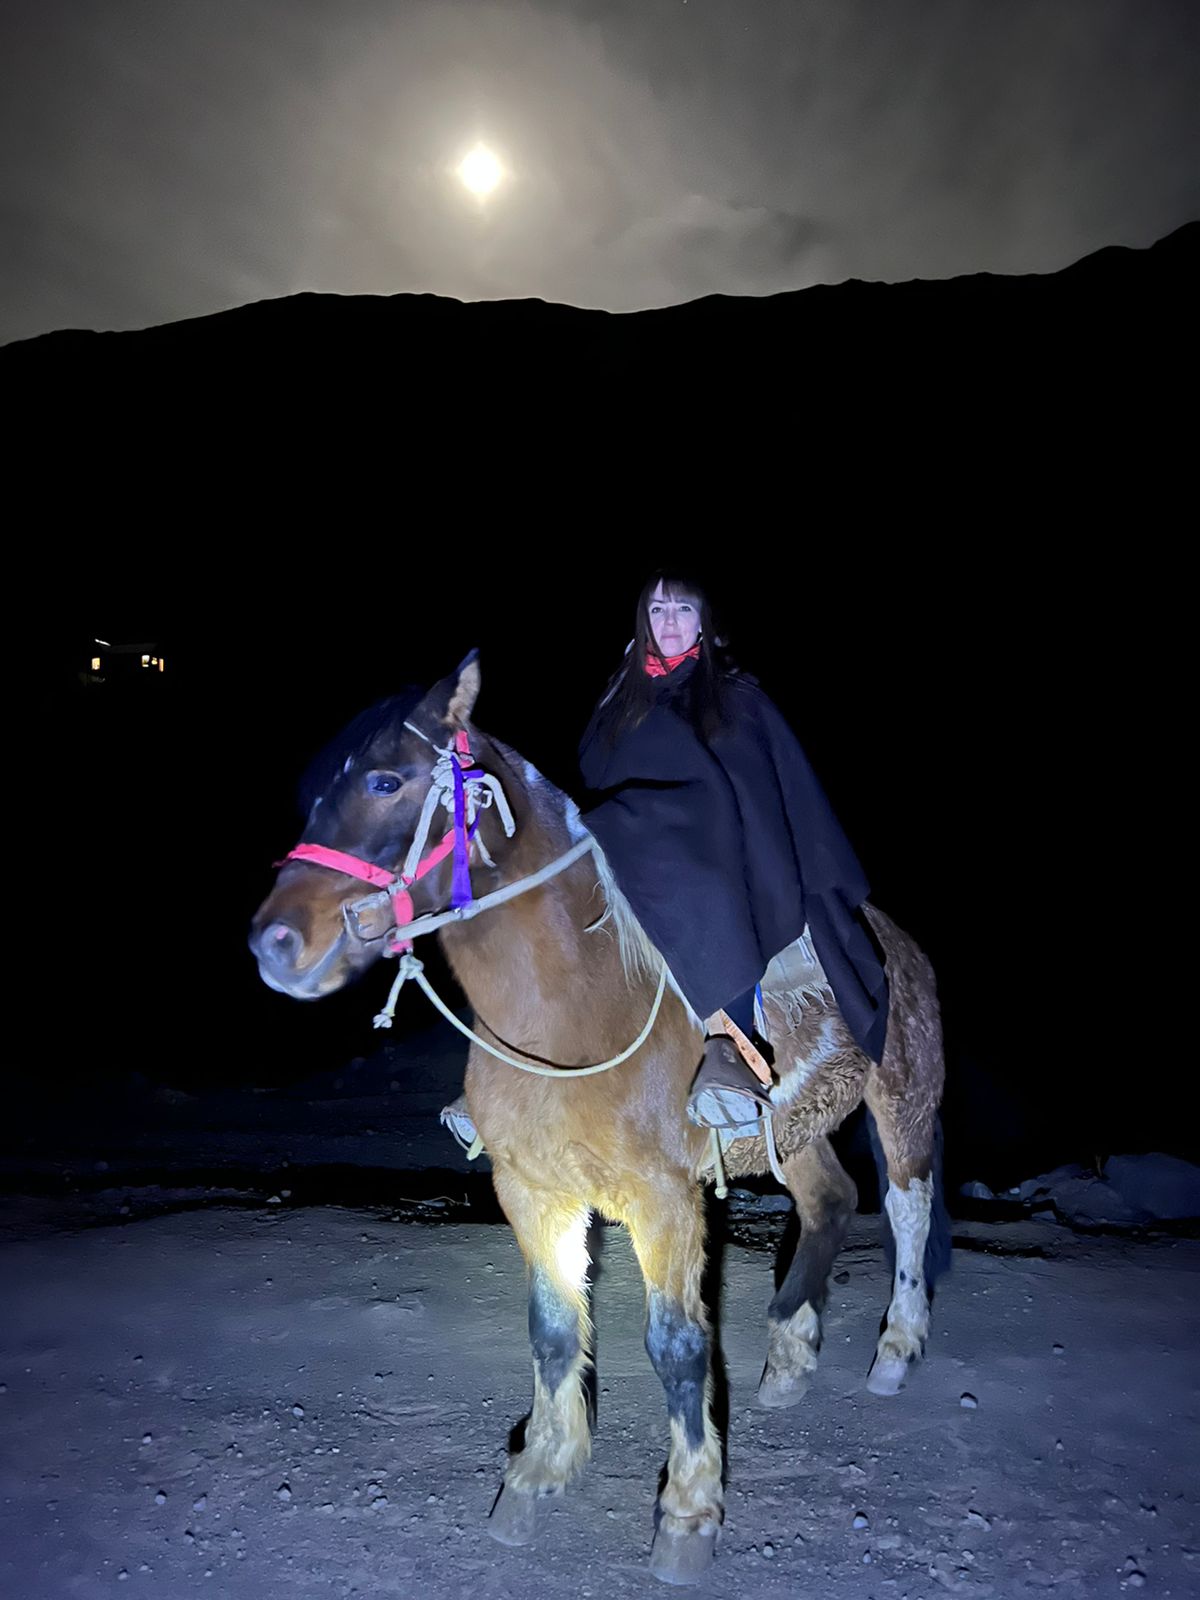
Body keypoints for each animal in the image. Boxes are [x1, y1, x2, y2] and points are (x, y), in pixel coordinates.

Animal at [251, 656, 947, 1580]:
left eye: (386, 781)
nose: (273, 945)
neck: (574, 1008)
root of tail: (893, 939)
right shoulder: (533, 1193)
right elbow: (552, 1330)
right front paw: (540, 1473)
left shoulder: (664, 1200)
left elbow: (678, 1346)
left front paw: (688, 1512)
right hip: (791, 1130)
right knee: (832, 1201)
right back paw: (791, 1355)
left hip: (901, 1100)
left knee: (907, 1206)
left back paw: (898, 1349)